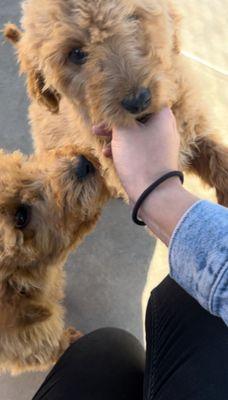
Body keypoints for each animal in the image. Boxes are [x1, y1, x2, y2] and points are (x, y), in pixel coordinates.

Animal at [0, 147, 109, 376]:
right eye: (21, 217)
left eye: (21, 166)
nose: (83, 163)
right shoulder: (34, 345)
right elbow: (57, 346)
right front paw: (73, 340)